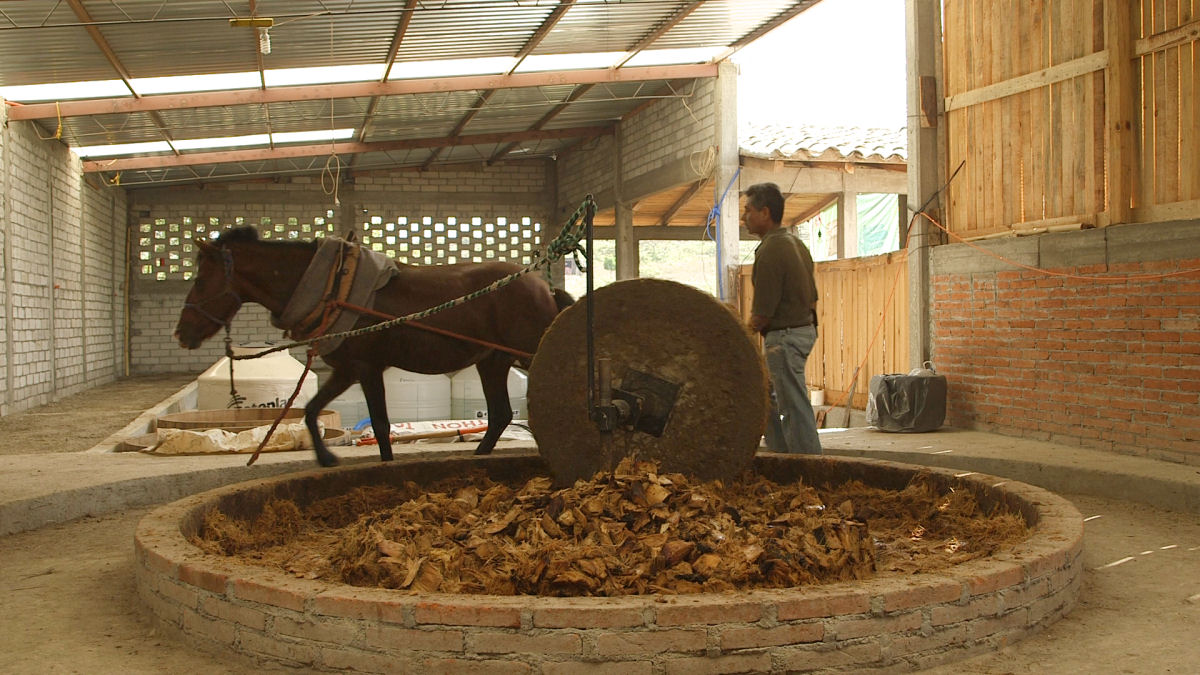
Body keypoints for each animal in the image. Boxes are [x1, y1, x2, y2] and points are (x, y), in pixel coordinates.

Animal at [171, 223, 573, 466]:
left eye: (201, 281)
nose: (181, 334)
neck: (333, 288)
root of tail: (543, 287)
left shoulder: (365, 368)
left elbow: (379, 423)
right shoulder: (348, 369)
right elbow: (311, 411)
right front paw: (327, 458)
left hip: (527, 354)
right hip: (492, 361)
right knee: (501, 413)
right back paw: (479, 454)